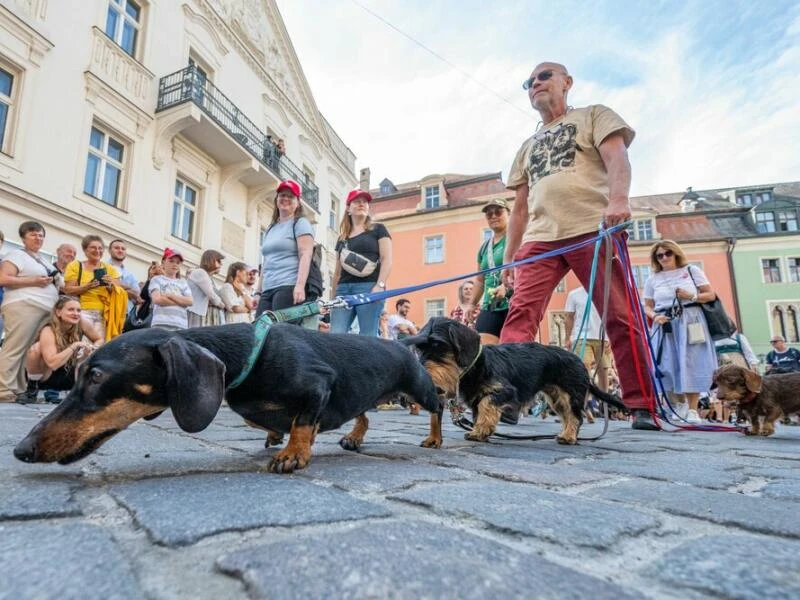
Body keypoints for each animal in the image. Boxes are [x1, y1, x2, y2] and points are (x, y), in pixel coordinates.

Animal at [12, 324, 440, 474]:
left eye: (97, 376)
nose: (20, 449)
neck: (251, 352)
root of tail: (401, 341)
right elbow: (262, 418)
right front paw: (277, 435)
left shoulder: (319, 384)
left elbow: (303, 420)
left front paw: (292, 452)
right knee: (364, 414)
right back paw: (353, 436)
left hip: (418, 387)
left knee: (438, 406)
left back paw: (435, 438)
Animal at [400, 318, 624, 446]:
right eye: (418, 348)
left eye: (437, 345)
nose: (419, 372)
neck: (475, 366)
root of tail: (580, 363)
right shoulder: (475, 400)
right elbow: (480, 412)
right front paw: (480, 431)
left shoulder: (504, 391)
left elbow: (487, 404)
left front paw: (481, 430)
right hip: (557, 398)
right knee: (570, 417)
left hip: (569, 395)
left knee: (576, 417)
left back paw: (569, 437)